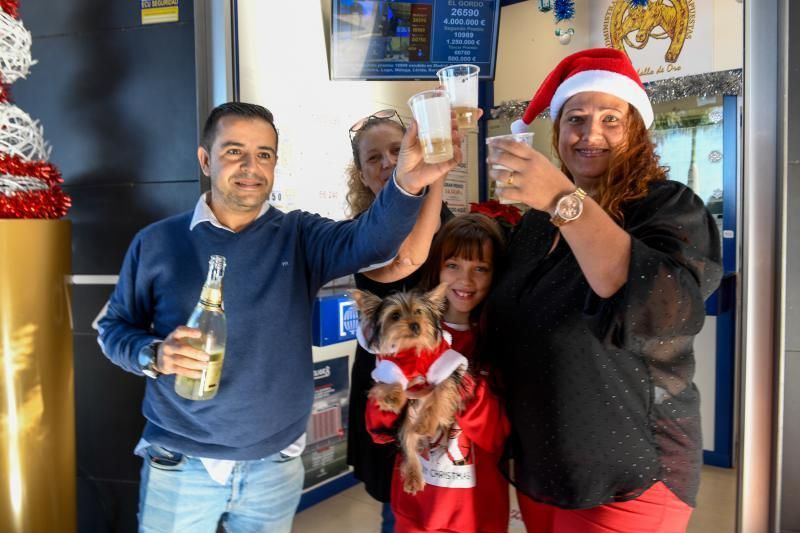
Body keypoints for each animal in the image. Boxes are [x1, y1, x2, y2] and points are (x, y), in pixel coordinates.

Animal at [354, 282, 472, 494]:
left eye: (419, 312)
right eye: (395, 316)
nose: (416, 325)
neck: (411, 350)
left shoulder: (444, 367)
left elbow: (441, 392)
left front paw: (426, 422)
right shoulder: (388, 367)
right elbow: (385, 384)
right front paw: (392, 397)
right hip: (404, 424)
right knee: (408, 445)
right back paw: (413, 478)